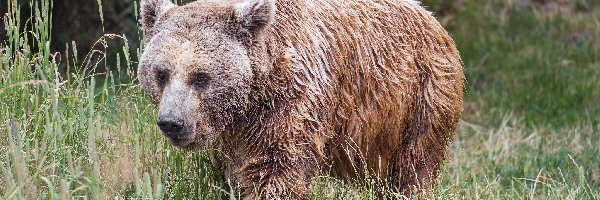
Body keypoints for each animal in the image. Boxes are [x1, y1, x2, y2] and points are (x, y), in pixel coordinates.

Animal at [137, 0, 464, 198]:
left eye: (201, 76)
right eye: (161, 73)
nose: (172, 122)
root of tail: (432, 19)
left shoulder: (293, 101)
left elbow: (276, 169)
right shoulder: (233, 136)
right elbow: (231, 172)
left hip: (418, 99)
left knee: (414, 166)